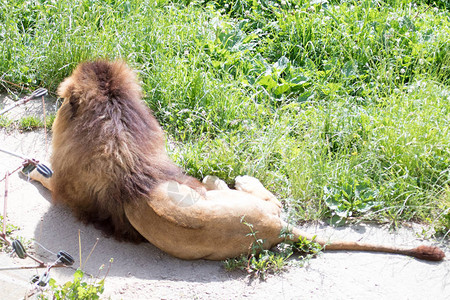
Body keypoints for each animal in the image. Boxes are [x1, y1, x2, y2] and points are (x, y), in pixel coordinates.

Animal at [29, 59, 446, 262]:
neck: (118, 136)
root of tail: (282, 231)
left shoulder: (67, 190)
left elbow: (47, 180)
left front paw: (32, 167)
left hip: (239, 198)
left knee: (251, 190)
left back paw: (232, 177)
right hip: (263, 213)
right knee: (272, 200)